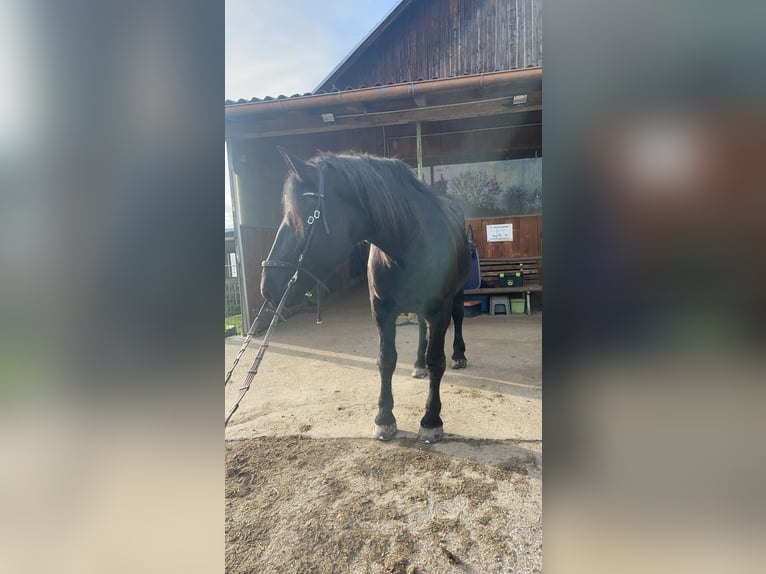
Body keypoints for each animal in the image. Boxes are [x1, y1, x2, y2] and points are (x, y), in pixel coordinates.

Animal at [261, 149, 472, 443]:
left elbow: (436, 362)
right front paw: (384, 419)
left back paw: (459, 355)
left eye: (303, 218)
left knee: (459, 318)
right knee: (421, 328)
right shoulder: (382, 311)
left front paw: (431, 421)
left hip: (457, 294)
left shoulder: (440, 310)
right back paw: (418, 364)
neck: (409, 244)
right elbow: (386, 360)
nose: (267, 286)